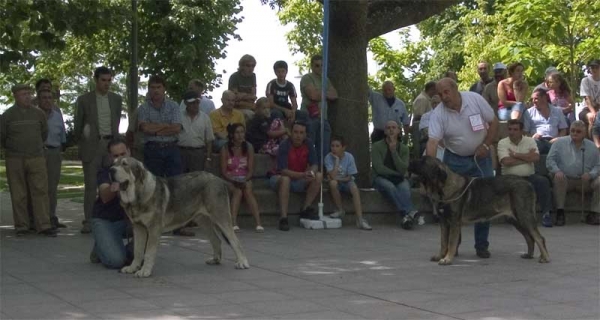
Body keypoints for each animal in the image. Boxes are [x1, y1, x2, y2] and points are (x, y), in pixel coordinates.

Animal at [111, 156, 250, 276]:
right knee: (216, 240)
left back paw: (242, 262)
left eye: (124, 164)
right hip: (203, 220)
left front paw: (145, 271)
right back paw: (215, 260)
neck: (137, 194)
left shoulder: (154, 229)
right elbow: (138, 251)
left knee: (235, 241)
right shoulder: (138, 228)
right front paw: (133, 267)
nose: (111, 170)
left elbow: (148, 253)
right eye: (113, 163)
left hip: (221, 217)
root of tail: (218, 179)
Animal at [408, 157, 548, 264]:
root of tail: (528, 183)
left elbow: (451, 242)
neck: (443, 188)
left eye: (423, 161)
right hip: (515, 219)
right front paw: (440, 256)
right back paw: (529, 255)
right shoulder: (444, 222)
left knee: (539, 238)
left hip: (524, 216)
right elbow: (443, 242)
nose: (409, 162)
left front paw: (447, 259)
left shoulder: (454, 223)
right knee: (529, 237)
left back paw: (545, 258)